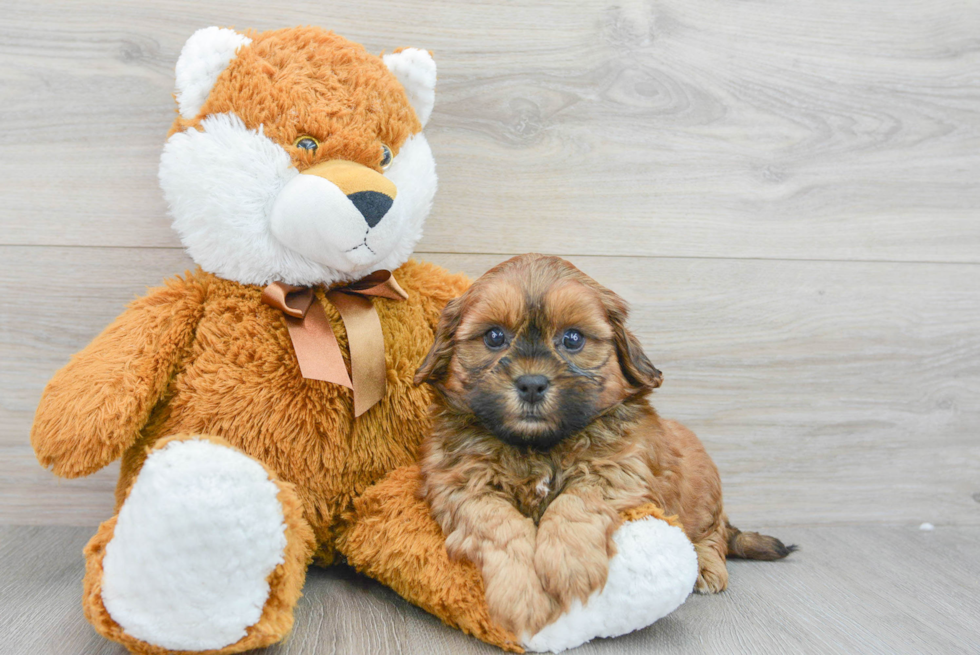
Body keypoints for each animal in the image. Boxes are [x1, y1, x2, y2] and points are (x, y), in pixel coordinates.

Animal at [412, 255, 788, 636]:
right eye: (494, 336)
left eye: (573, 338)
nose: (531, 384)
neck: (539, 446)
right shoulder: (462, 486)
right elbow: (500, 527)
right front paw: (522, 594)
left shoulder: (618, 471)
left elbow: (574, 504)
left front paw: (568, 565)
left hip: (703, 490)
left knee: (713, 534)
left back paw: (708, 566)